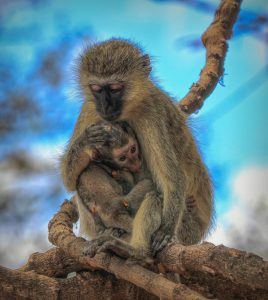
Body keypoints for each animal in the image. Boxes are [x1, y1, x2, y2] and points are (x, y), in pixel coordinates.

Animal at [61, 38, 214, 252]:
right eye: (96, 89)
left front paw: (165, 229)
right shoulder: (90, 110)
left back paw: (134, 250)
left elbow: (171, 177)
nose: (105, 107)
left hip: (186, 229)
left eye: (115, 88)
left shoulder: (152, 113)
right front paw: (86, 140)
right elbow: (68, 178)